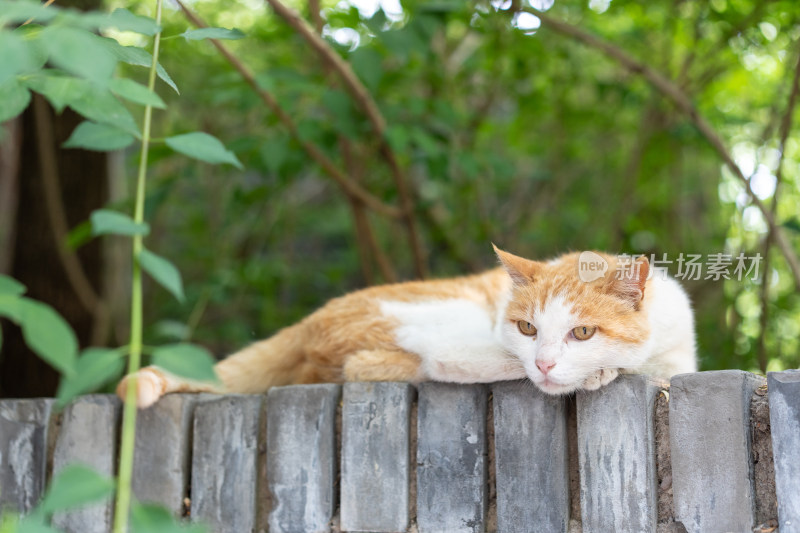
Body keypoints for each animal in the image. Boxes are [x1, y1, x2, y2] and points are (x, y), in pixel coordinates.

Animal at [115, 246, 696, 408]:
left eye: (583, 333)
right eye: (528, 328)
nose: (546, 362)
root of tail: (312, 316)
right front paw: (600, 373)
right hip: (434, 321)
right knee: (376, 364)